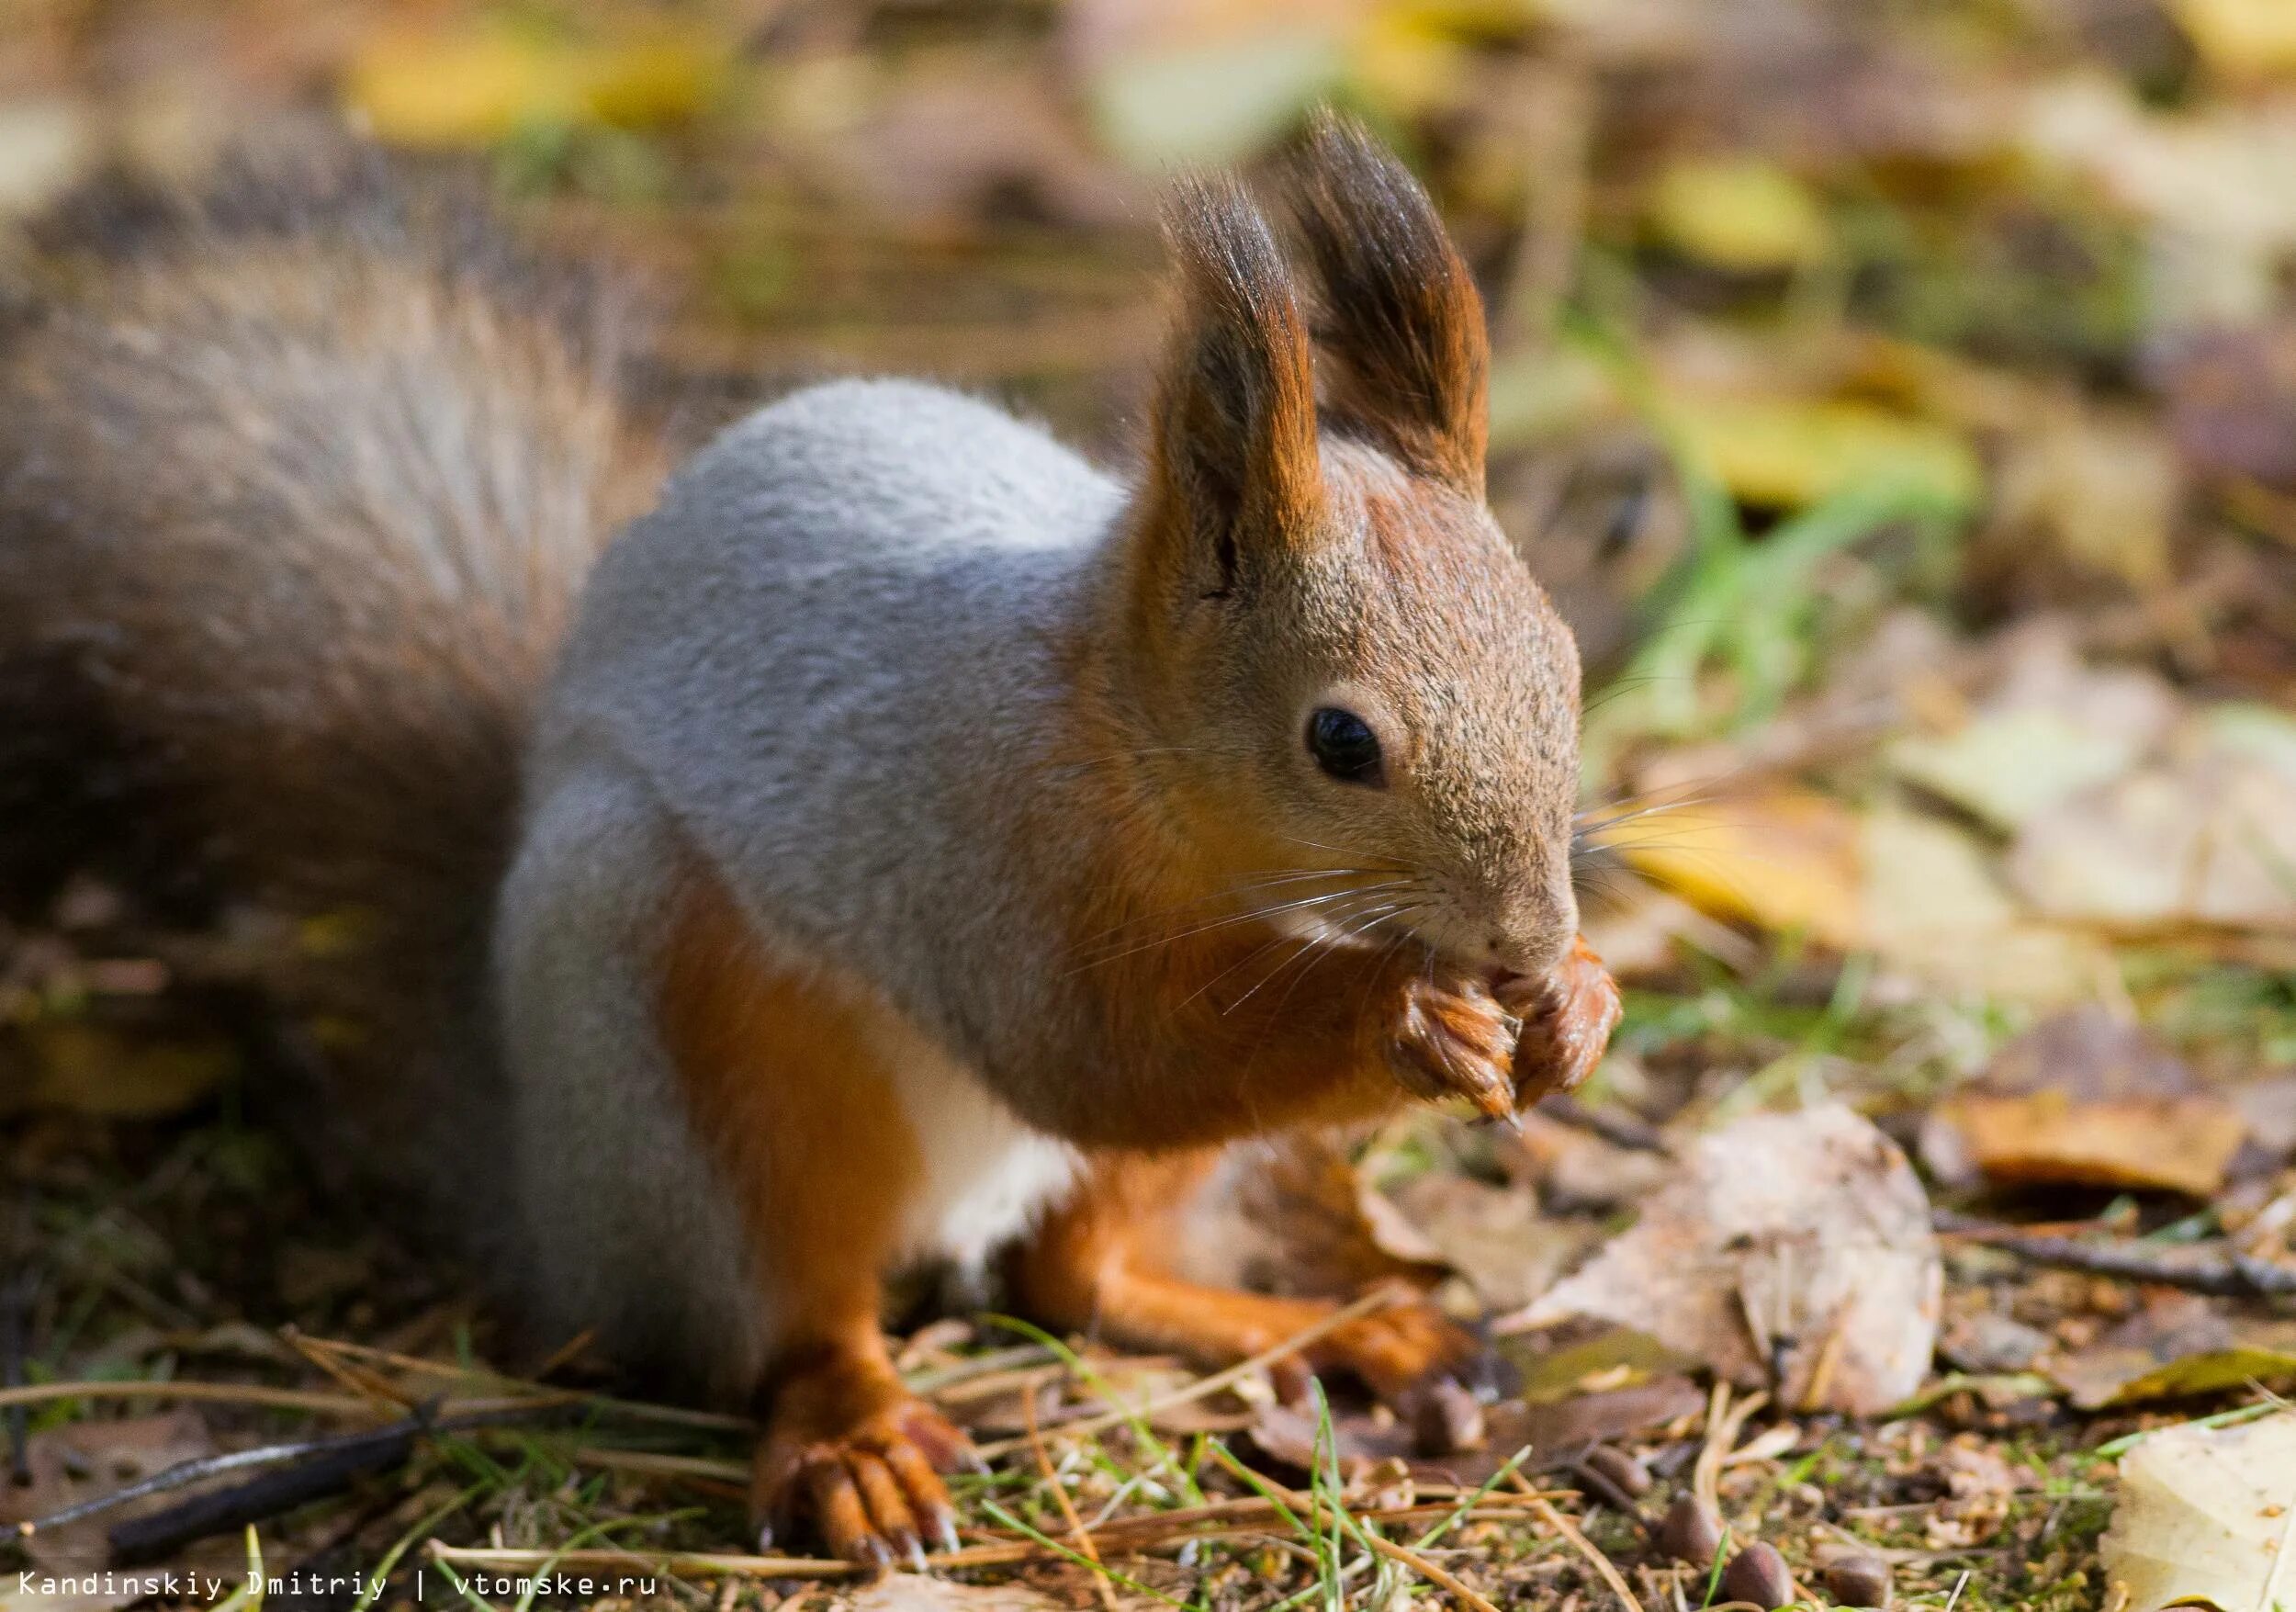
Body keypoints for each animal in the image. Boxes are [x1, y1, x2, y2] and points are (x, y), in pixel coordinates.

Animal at [0, 119, 1616, 1571]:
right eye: (1340, 740)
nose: (1528, 933)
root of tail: (542, 1193)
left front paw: (1580, 998)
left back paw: (1340, 1327)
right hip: (680, 1033)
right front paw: (1404, 1016)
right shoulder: (978, 831)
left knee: (1074, 1268)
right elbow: (1097, 1049)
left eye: (1567, 660)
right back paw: (856, 1437)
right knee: (792, 1309)